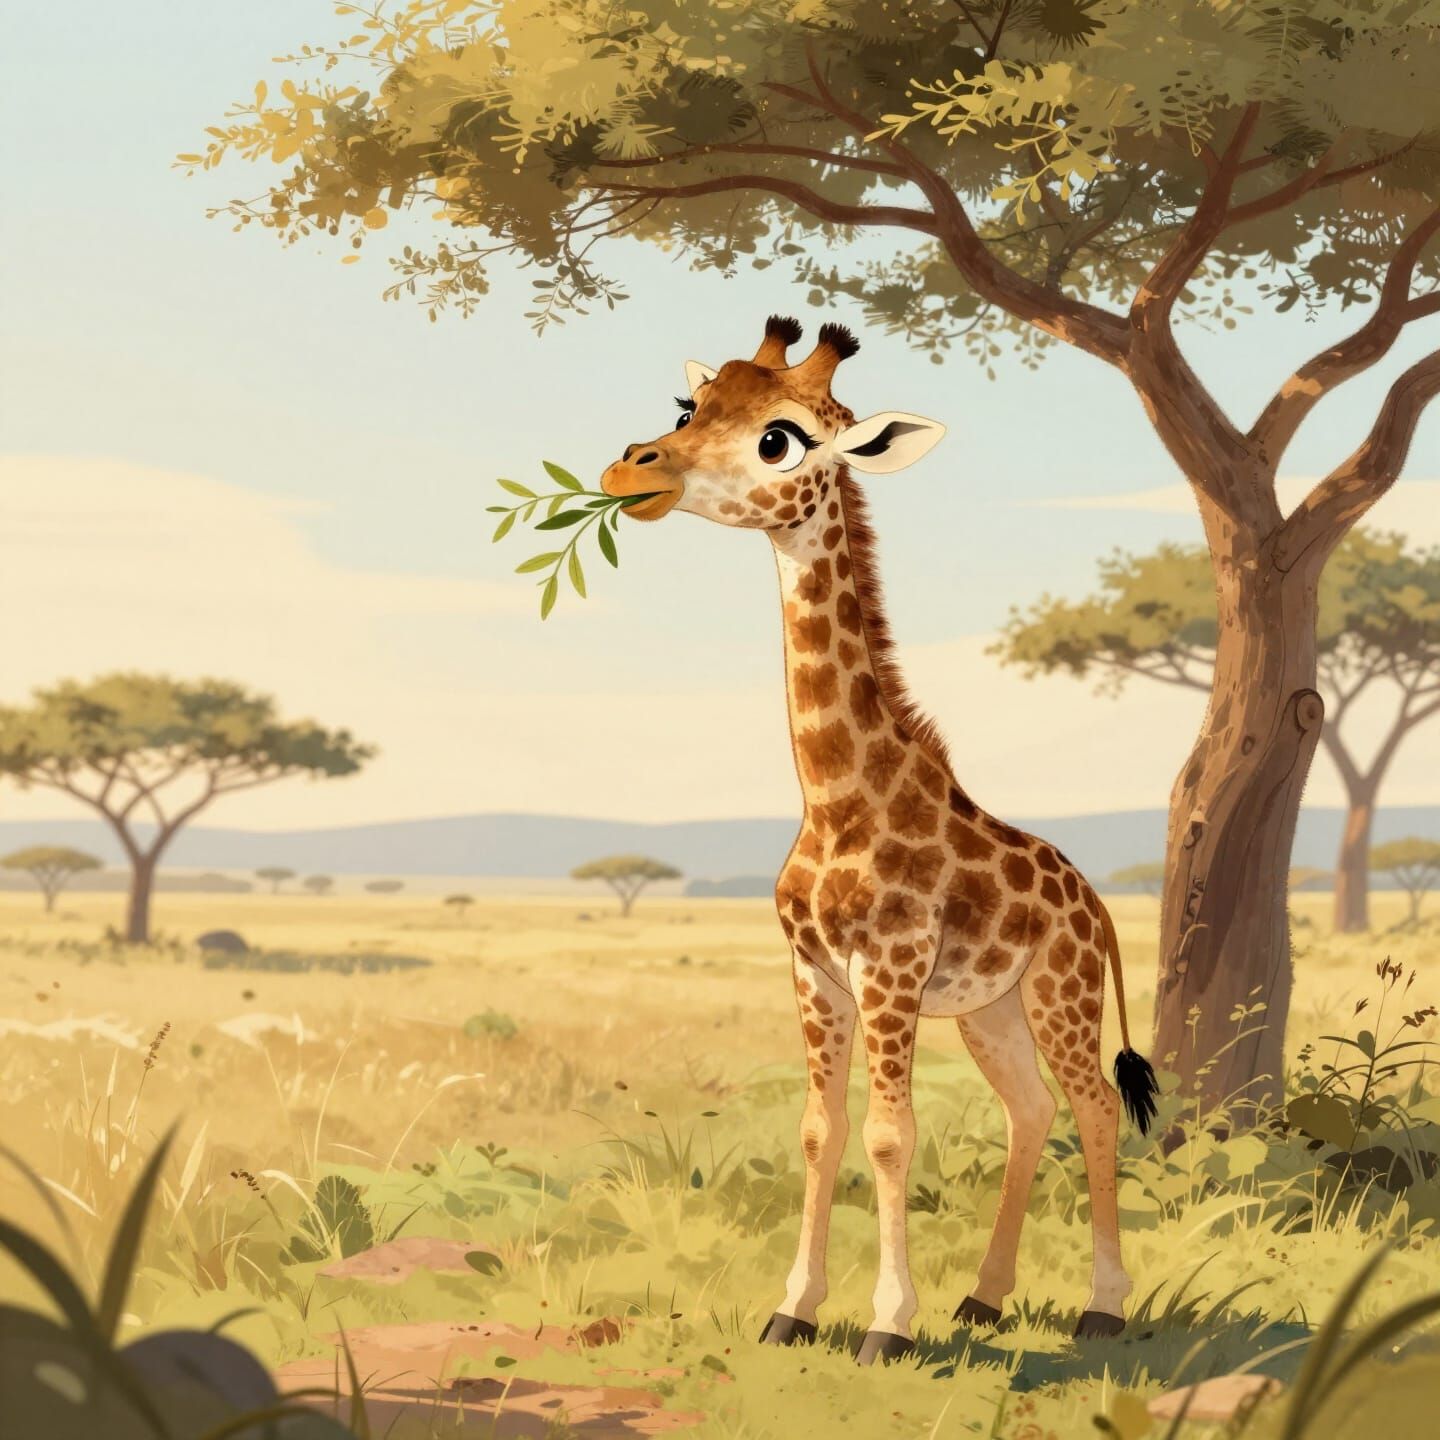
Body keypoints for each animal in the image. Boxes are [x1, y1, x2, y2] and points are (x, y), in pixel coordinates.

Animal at [600, 316, 1159, 1365]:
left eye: (779, 439)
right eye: (689, 407)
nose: (629, 469)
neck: (834, 800)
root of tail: (1096, 902)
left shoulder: (890, 971)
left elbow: (891, 1135)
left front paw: (886, 1325)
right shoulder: (814, 970)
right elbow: (820, 1130)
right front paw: (793, 1310)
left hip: (1059, 995)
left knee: (1096, 1106)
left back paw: (1103, 1307)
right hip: (990, 1010)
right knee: (1032, 1109)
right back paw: (983, 1298)